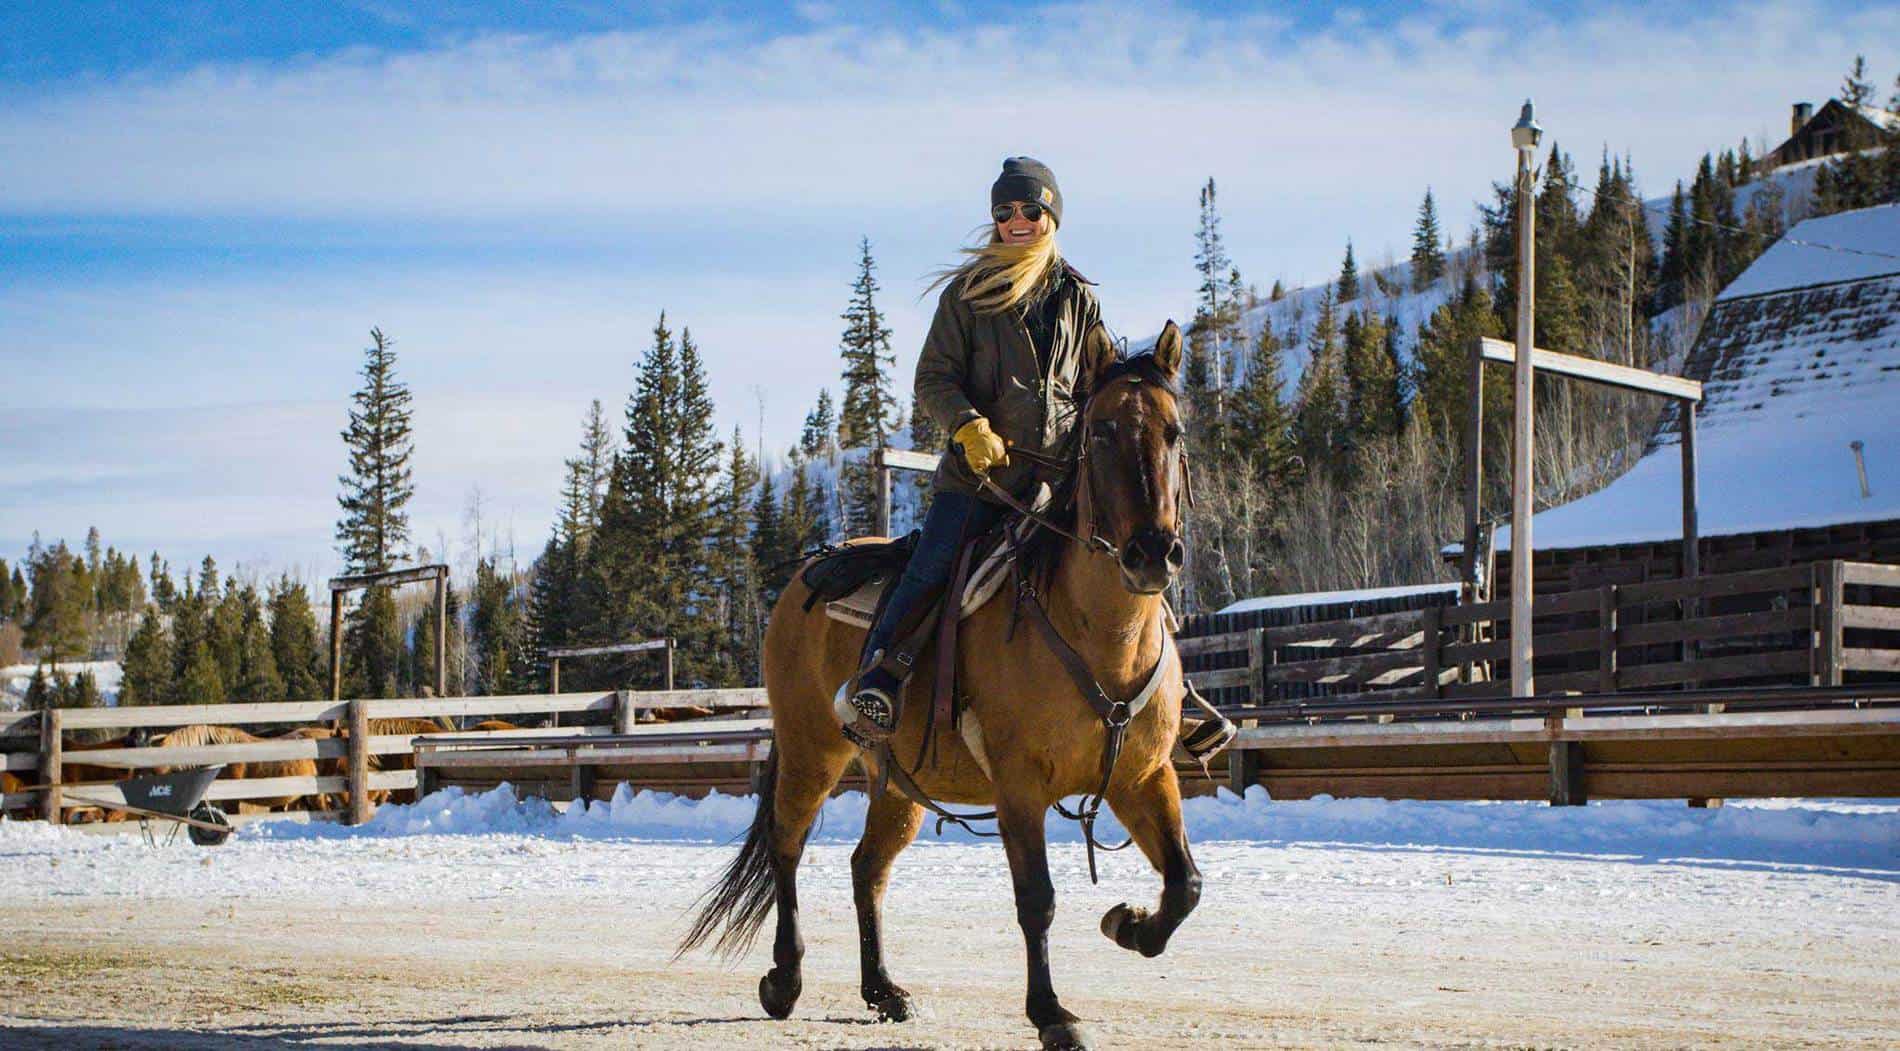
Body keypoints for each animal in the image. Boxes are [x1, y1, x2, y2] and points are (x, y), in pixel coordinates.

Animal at [684, 323, 1200, 1041]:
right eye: (1100, 431)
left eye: (1173, 431)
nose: (1152, 552)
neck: (1103, 640)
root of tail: (801, 583)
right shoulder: (1019, 788)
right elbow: (1037, 900)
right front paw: (1050, 1014)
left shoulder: (1143, 776)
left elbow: (1184, 884)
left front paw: (1127, 923)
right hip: (813, 750)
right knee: (787, 846)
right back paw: (784, 979)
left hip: (899, 781)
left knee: (867, 868)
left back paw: (882, 989)